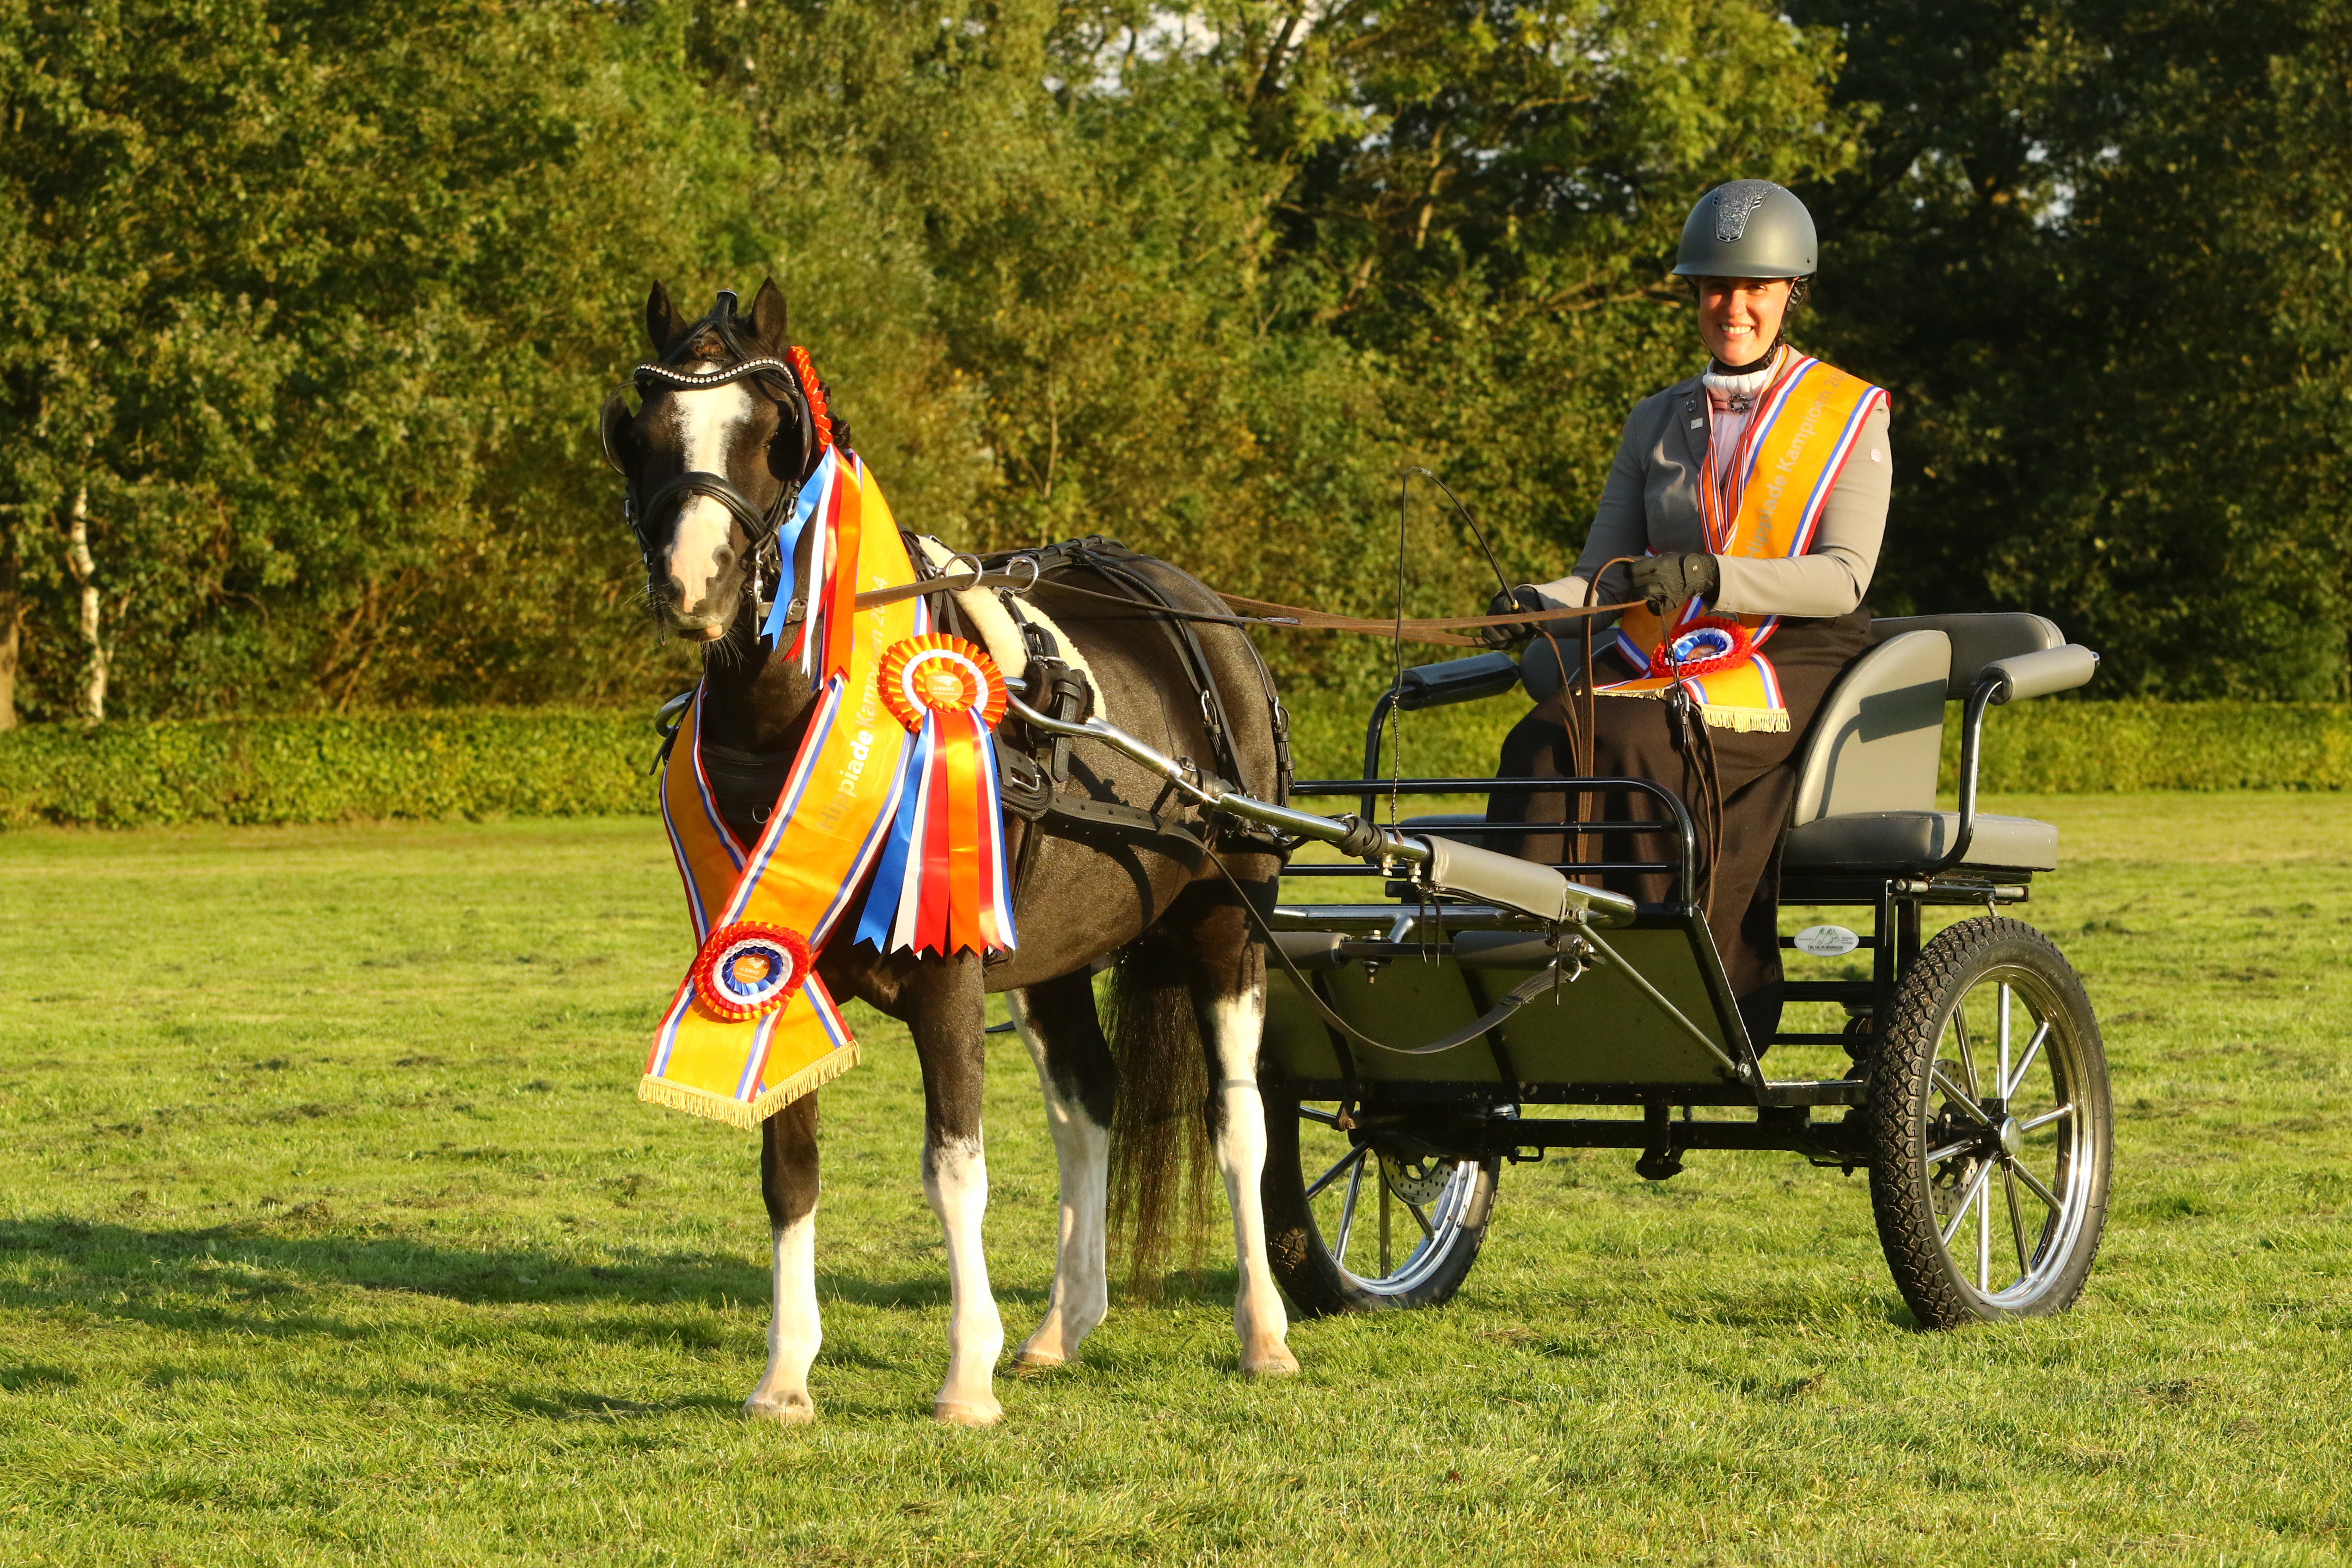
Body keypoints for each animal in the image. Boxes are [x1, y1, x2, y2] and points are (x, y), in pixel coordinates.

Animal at [598, 278, 1298, 1425]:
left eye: (771, 434)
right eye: (646, 430)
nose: (695, 585)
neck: (792, 721)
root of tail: (1203, 614)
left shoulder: (951, 975)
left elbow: (954, 1167)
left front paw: (967, 1375)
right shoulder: (766, 968)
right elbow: (790, 1170)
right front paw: (785, 1377)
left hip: (1226, 923)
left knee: (1236, 1123)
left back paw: (1264, 1333)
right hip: (1056, 956)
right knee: (1087, 1109)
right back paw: (1061, 1328)